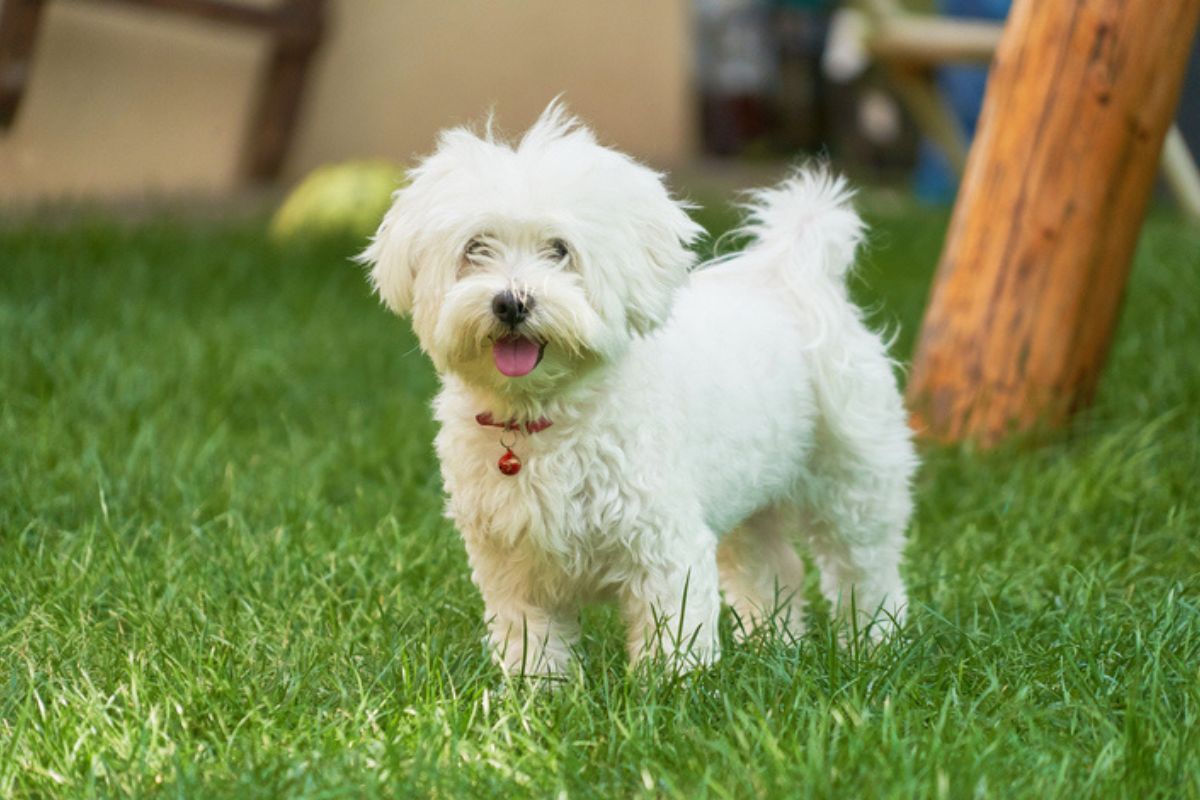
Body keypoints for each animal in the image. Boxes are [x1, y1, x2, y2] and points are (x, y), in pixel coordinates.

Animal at [360, 103, 912, 681]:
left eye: (560, 249)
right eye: (475, 248)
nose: (511, 302)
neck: (547, 414)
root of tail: (792, 276)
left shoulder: (663, 544)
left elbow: (673, 629)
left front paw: (673, 689)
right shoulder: (513, 563)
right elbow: (532, 636)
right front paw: (538, 691)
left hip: (854, 480)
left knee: (866, 570)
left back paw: (877, 644)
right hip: (750, 493)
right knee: (772, 569)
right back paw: (773, 645)